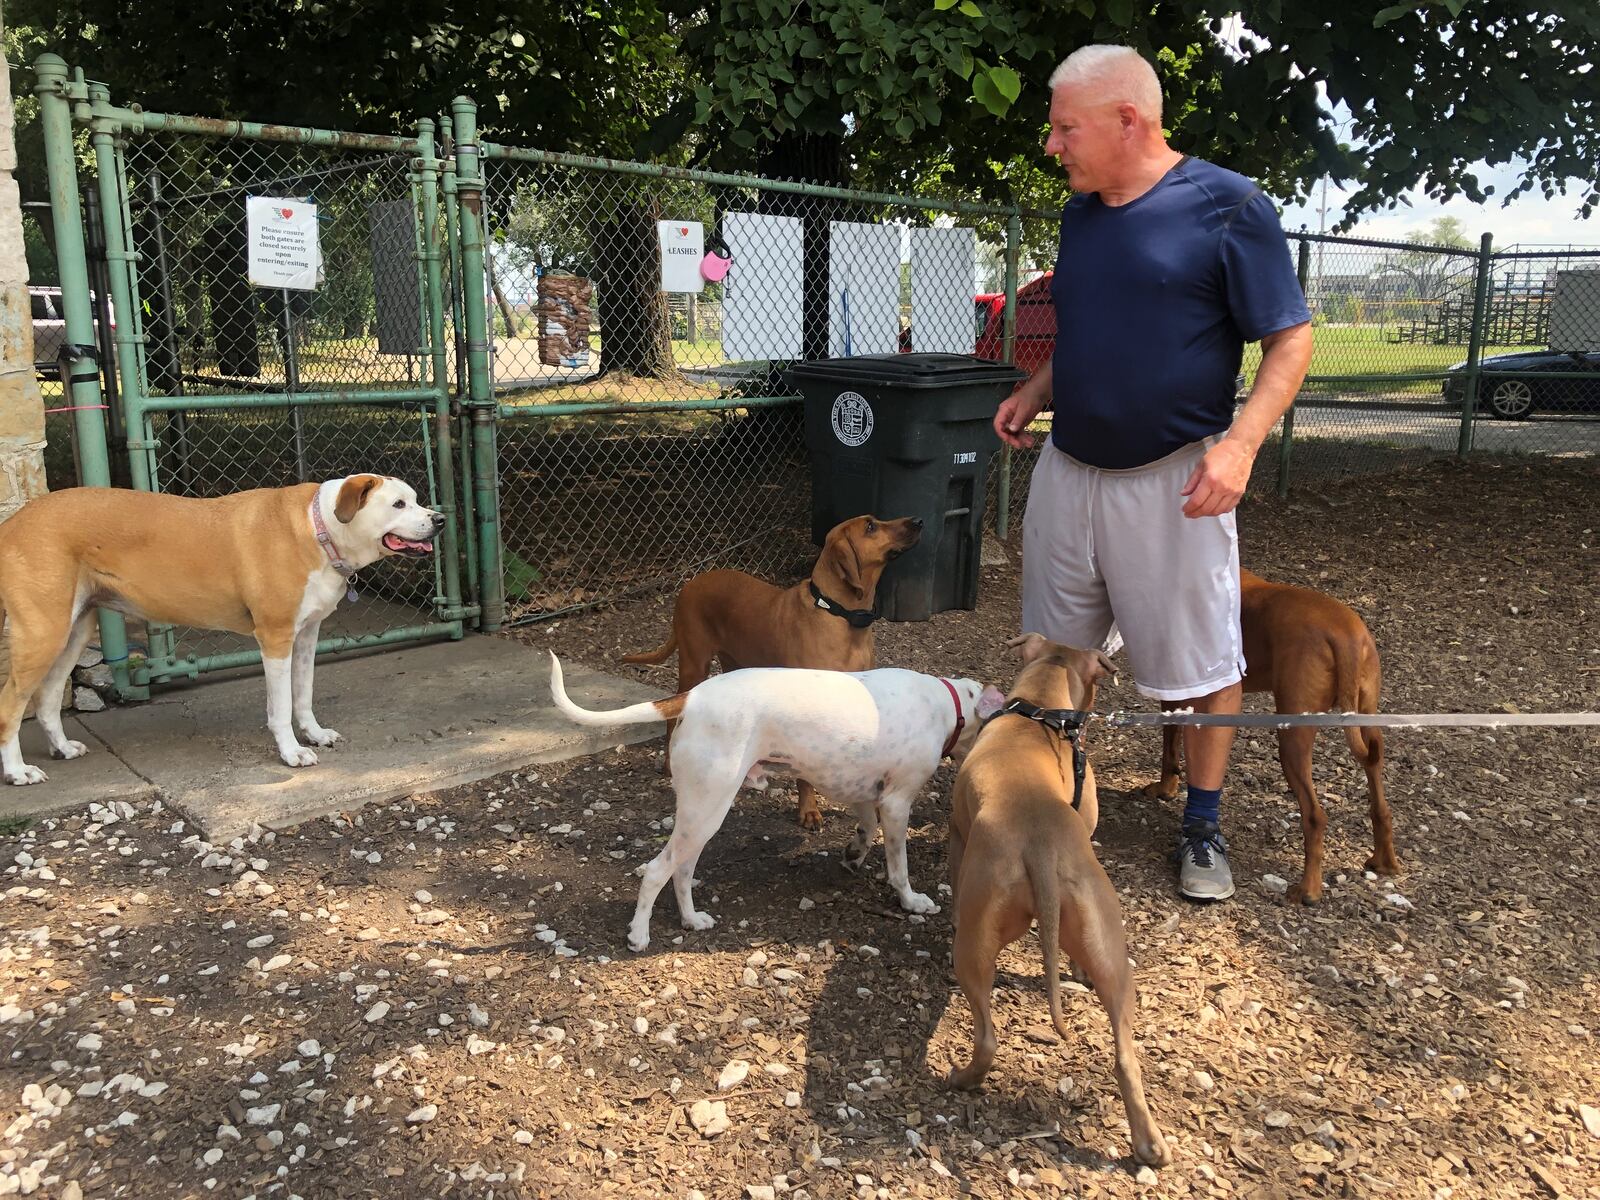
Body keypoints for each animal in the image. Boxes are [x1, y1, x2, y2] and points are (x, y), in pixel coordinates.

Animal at [1, 473, 444, 784]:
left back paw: (61, 747)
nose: (439, 519)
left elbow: (303, 696)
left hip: (73, 630)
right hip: (42, 632)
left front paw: (314, 734)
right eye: (398, 504)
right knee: (11, 705)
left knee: (47, 698)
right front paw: (291, 752)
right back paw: (18, 772)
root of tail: (14, 521)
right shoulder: (275, 638)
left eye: (416, 499)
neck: (320, 529)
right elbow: (281, 706)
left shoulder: (306, 637)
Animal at [550, 652, 998, 953]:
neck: (949, 703)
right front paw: (911, 901)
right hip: (706, 811)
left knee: (682, 871)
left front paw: (853, 855)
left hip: (702, 817)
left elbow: (866, 829)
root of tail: (692, 696)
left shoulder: (865, 793)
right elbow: (899, 868)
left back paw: (692, 920)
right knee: (658, 871)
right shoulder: (897, 803)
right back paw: (639, 934)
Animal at [624, 512, 928, 832]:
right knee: (673, 715)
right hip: (694, 663)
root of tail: (692, 582)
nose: (918, 521)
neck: (838, 613)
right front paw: (809, 810)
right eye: (870, 526)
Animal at [940, 640, 1171, 1177]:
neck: (1040, 711)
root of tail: (1040, 846)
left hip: (973, 949)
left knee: (987, 1039)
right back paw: (1149, 1146)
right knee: (1125, 1056)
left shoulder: (958, 834)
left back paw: (962, 1079)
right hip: (1110, 951)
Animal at [1145, 569, 1395, 902]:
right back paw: (1385, 862)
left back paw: (1308, 890)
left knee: (1315, 816)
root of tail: (1345, 635)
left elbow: (1169, 747)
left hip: (1292, 736)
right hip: (1368, 719)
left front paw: (1164, 788)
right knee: (1380, 799)